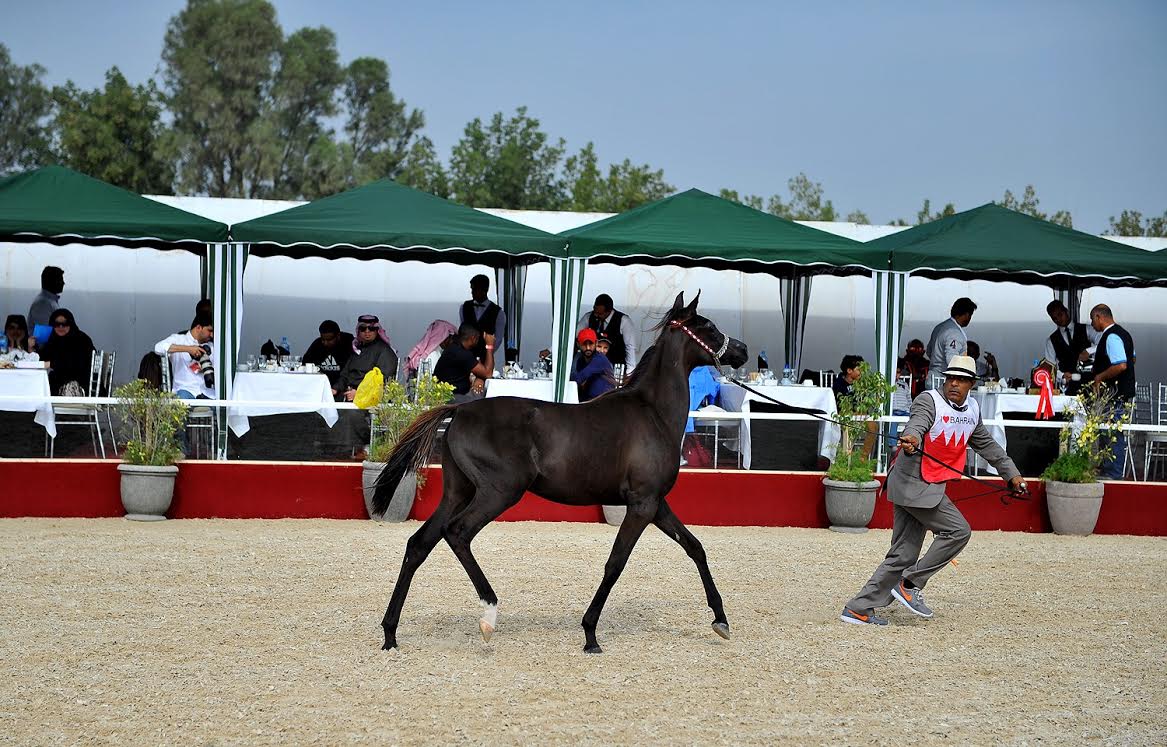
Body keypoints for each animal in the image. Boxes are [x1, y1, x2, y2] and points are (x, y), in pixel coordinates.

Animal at [373, 291, 746, 653]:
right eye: (709, 326)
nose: (741, 350)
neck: (652, 413)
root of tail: (459, 411)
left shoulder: (655, 503)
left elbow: (695, 547)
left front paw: (721, 621)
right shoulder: (642, 505)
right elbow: (616, 563)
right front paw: (590, 634)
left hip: (458, 492)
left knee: (419, 544)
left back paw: (390, 634)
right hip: (499, 492)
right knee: (457, 533)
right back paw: (488, 616)